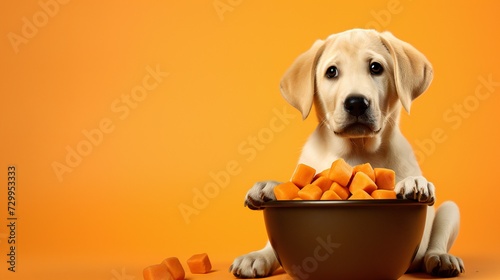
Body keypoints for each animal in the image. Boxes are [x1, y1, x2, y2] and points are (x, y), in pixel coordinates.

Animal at [230, 28, 464, 278]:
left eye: (376, 67)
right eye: (331, 72)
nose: (356, 103)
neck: (356, 149)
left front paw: (414, 182)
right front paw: (268, 188)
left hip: (449, 211)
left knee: (435, 243)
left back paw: (441, 258)